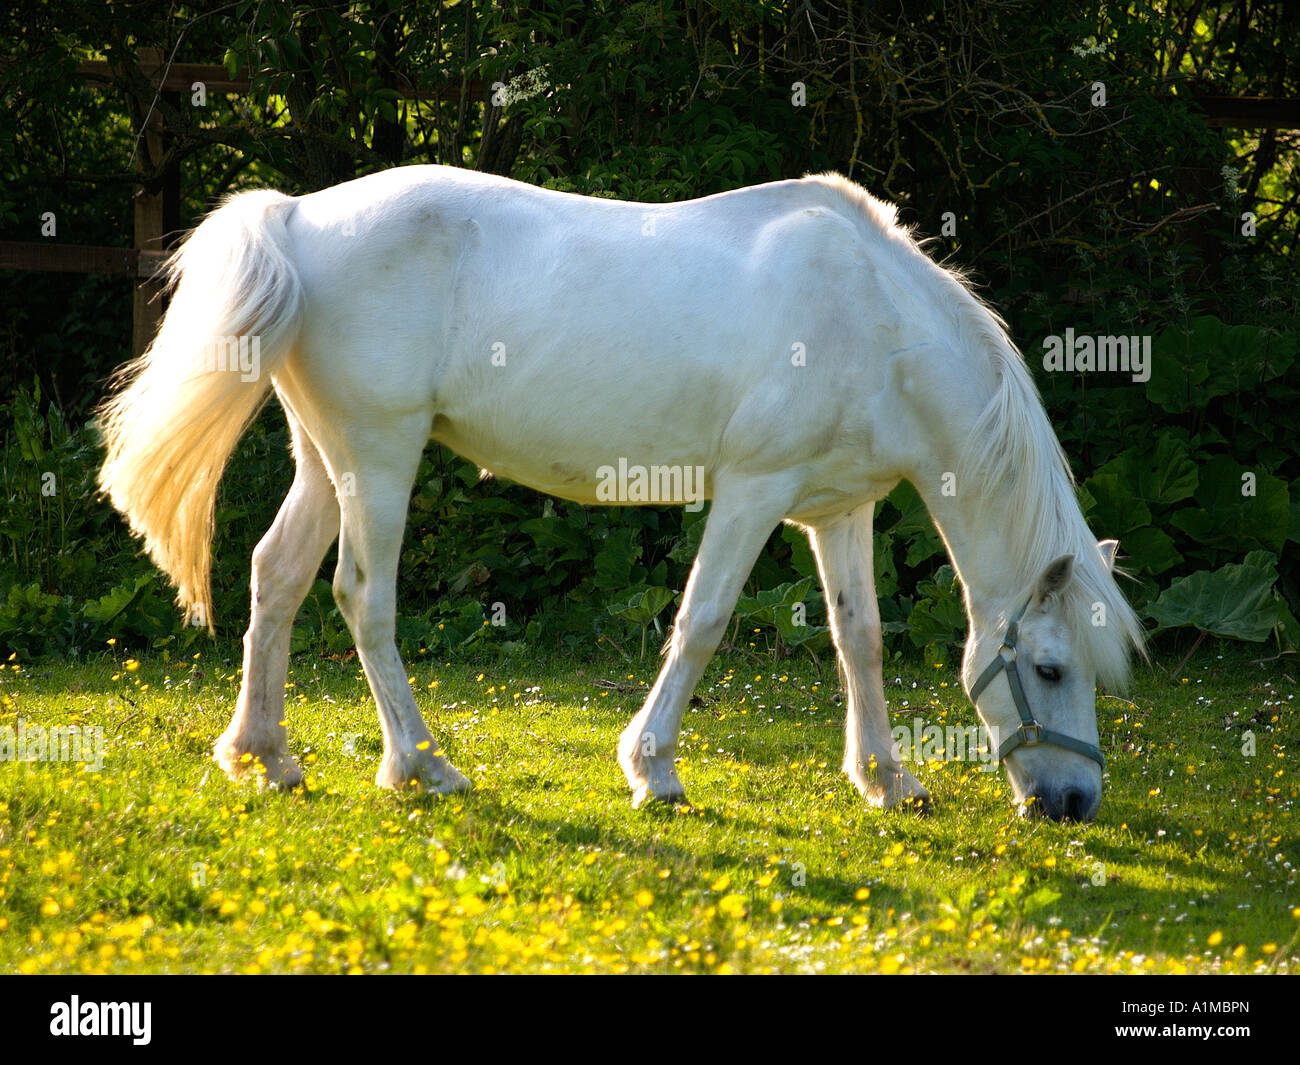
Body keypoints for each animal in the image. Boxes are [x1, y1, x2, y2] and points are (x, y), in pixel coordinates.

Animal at [96, 165, 1145, 822]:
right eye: (1051, 667)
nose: (1075, 804)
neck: (875, 320)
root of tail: (299, 217)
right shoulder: (753, 493)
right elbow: (704, 621)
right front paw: (655, 770)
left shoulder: (839, 508)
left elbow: (862, 638)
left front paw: (886, 781)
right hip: (381, 456)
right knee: (364, 598)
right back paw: (422, 765)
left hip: (327, 460)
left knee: (274, 576)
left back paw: (264, 754)